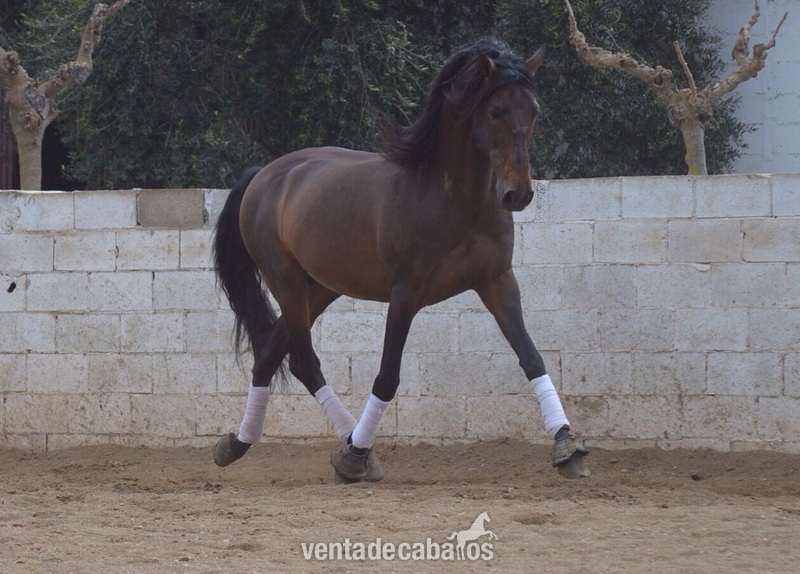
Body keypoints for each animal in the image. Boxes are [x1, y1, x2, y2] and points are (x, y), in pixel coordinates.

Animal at [212, 37, 588, 481]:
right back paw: (350, 450)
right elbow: (388, 375)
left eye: (534, 109)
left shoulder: (497, 281)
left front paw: (566, 446)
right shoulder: (405, 295)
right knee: (304, 362)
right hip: (285, 281)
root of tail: (264, 175)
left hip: (318, 288)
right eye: (496, 109)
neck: (453, 199)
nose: (518, 194)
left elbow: (531, 357)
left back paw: (238, 443)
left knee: (271, 351)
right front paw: (355, 455)